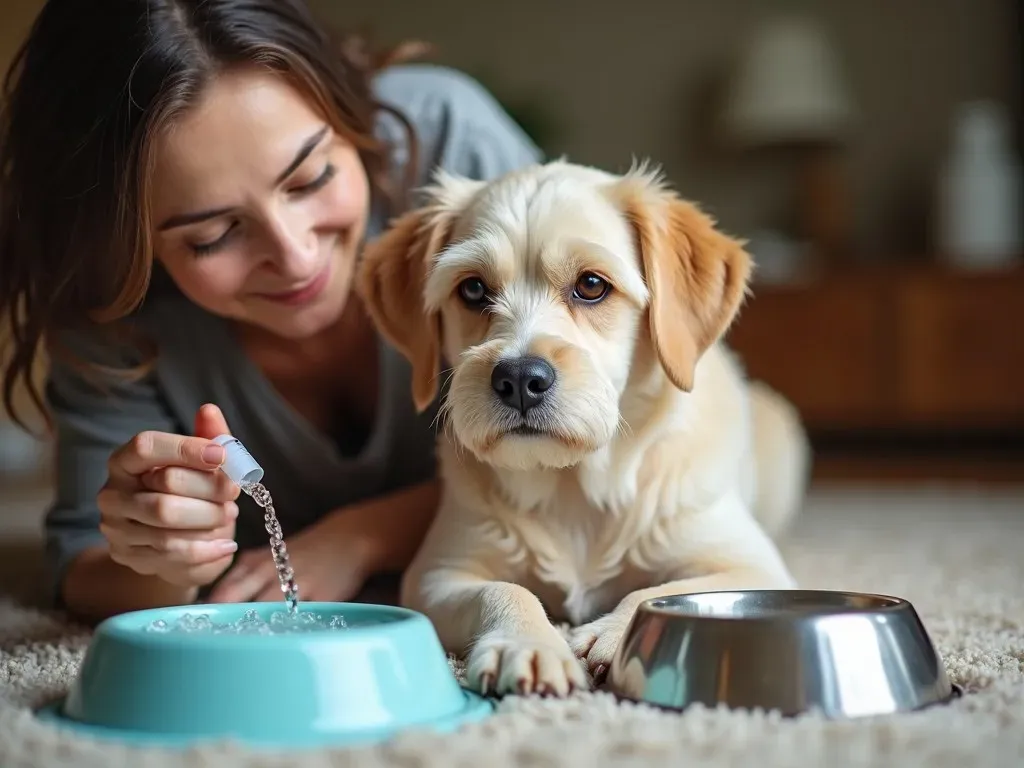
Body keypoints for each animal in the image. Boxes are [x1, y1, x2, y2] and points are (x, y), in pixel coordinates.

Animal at [356, 159, 811, 700]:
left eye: (592, 285)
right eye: (472, 289)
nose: (519, 380)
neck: (574, 482)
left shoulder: (755, 567)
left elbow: (657, 590)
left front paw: (612, 633)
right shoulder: (436, 574)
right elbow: (506, 589)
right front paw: (529, 642)